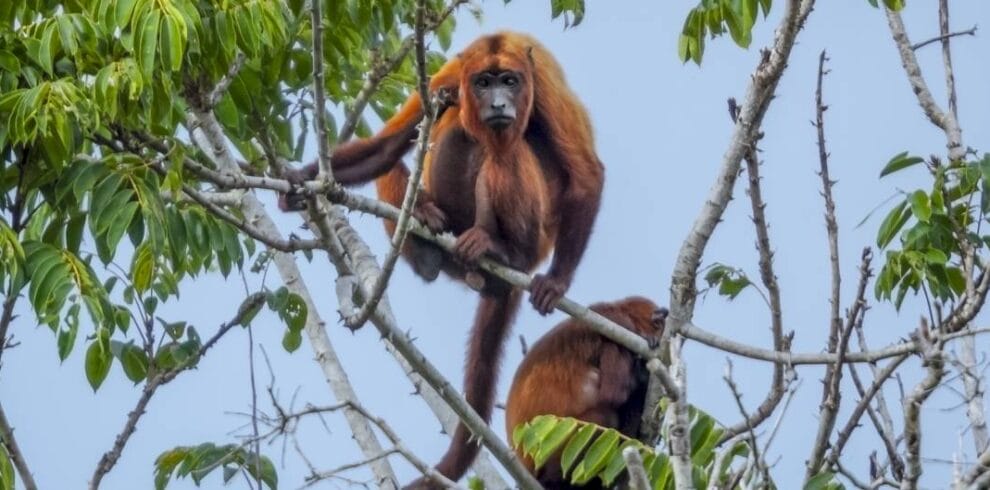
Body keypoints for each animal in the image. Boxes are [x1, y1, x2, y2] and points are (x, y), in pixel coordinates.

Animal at [280, 31, 604, 486]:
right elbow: (385, 149)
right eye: (484, 83)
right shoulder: (445, 78)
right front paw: (300, 179)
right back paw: (425, 231)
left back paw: (501, 251)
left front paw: (557, 282)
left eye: (510, 82)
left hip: (535, 240)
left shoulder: (543, 82)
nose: (499, 104)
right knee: (435, 143)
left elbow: (585, 172)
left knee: (503, 150)